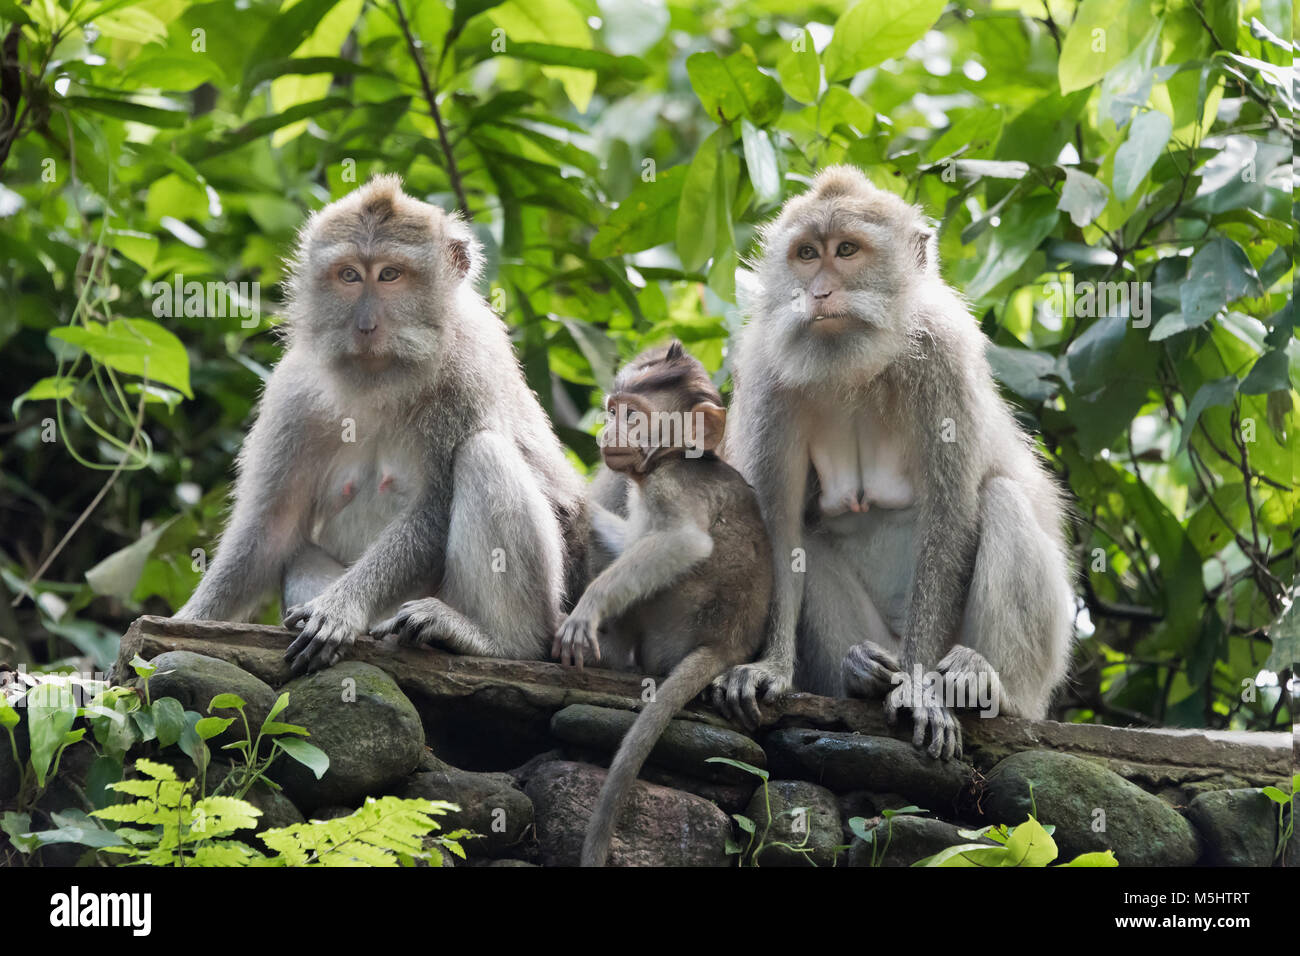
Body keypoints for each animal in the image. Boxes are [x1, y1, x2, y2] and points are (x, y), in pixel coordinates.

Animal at [174, 175, 588, 674]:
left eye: (390, 275)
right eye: (350, 275)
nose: (365, 326)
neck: (383, 381)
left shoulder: (468, 373)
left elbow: (434, 506)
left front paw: (341, 608)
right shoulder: (293, 394)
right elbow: (271, 528)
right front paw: (186, 621)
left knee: (484, 453)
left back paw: (495, 640)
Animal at [553, 341, 773, 866]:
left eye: (633, 416)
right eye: (613, 411)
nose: (607, 430)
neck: (672, 458)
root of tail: (729, 646)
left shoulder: (670, 485)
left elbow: (682, 543)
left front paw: (586, 610)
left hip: (676, 618)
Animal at [713, 165, 1075, 759]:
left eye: (847, 250)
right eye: (807, 254)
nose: (820, 291)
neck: (856, 366)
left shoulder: (944, 357)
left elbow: (950, 515)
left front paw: (921, 690)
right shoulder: (767, 370)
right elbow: (778, 523)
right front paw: (771, 667)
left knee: (1000, 499)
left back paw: (987, 684)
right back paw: (860, 672)